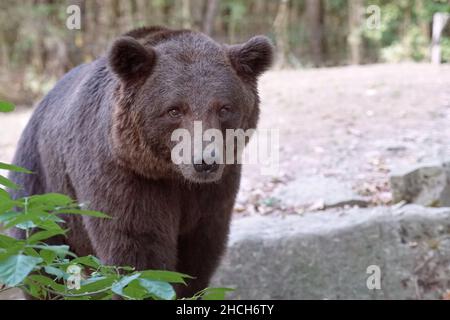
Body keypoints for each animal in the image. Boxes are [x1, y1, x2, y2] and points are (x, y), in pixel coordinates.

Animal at [8, 26, 272, 298]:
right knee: (42, 259)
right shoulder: (124, 176)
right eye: (174, 110)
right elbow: (139, 251)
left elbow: (199, 253)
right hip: (40, 189)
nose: (204, 161)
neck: (172, 174)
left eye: (224, 108)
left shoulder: (216, 191)